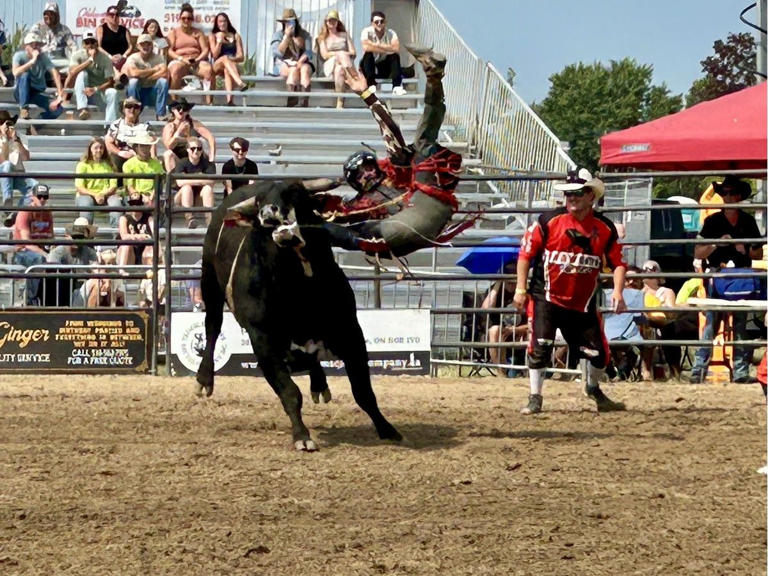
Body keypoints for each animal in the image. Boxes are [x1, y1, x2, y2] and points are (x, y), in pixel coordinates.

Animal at [195, 179, 402, 451]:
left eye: (295, 194)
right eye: (259, 203)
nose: (268, 214)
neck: (298, 289)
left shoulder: (350, 332)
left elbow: (363, 391)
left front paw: (387, 429)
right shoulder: (263, 341)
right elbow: (290, 392)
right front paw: (302, 436)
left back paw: (319, 383)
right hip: (209, 281)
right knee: (212, 326)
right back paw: (204, 379)